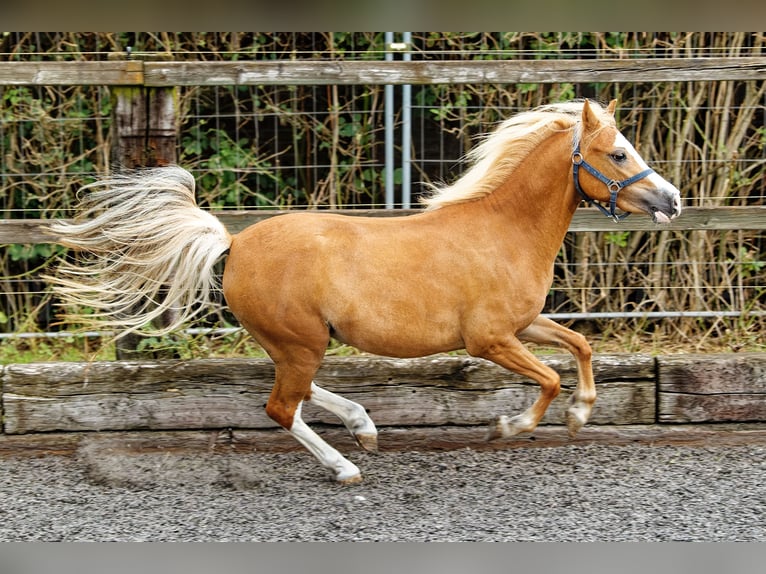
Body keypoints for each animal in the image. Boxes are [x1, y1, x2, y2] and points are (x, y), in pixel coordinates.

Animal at [48, 100, 684, 486]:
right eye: (618, 153)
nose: (672, 200)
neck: (503, 232)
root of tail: (233, 242)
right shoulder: (489, 339)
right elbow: (549, 378)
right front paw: (509, 427)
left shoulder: (522, 324)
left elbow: (580, 346)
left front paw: (580, 414)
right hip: (300, 341)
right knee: (281, 407)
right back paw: (345, 466)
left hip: (297, 343)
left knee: (298, 394)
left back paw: (363, 425)